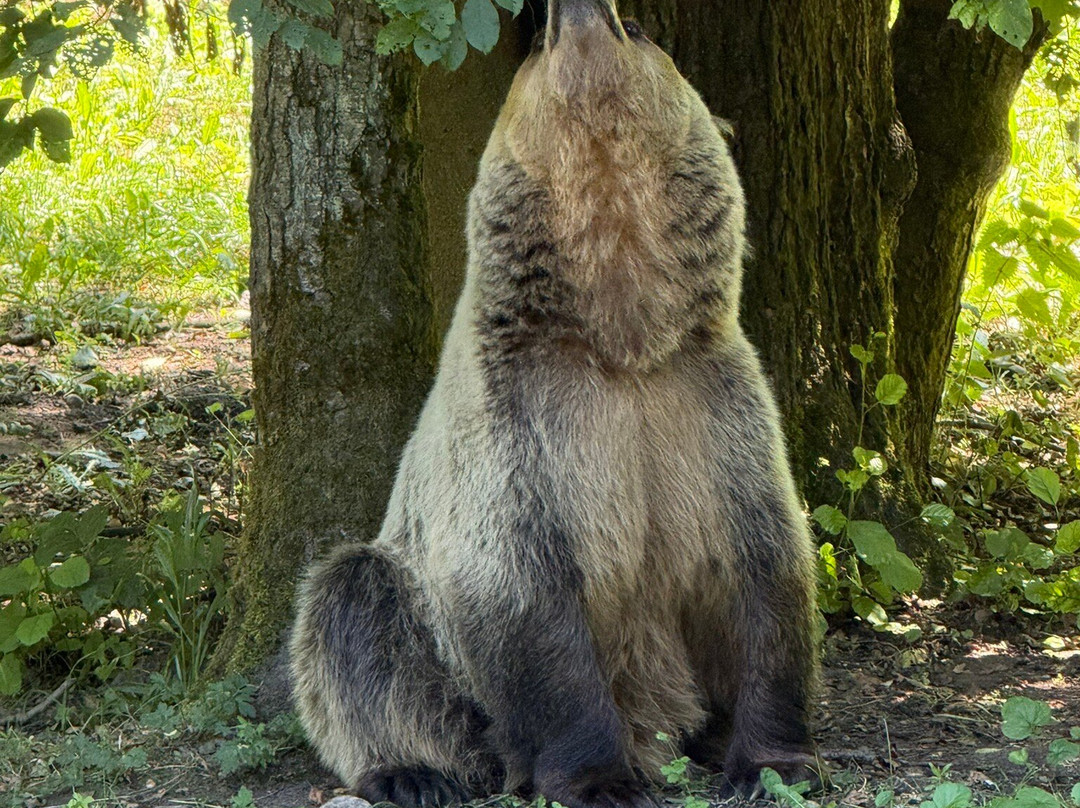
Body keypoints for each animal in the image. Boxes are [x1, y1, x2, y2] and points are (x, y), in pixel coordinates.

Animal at [289, 1, 819, 805]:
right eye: (535, 41)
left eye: (643, 28)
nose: (576, 7)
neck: (620, 338)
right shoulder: (521, 425)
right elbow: (524, 596)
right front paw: (602, 778)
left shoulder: (710, 408)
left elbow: (764, 570)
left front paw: (774, 760)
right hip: (418, 623)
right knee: (352, 612)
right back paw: (412, 771)